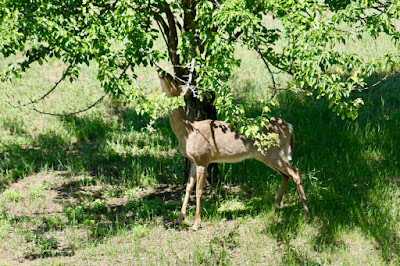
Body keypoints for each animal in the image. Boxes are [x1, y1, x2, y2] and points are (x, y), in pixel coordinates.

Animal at [158, 70, 308, 231]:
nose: (161, 71)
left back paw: (305, 213)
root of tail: (290, 127)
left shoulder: (202, 158)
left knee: (295, 172)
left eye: (175, 80)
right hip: (268, 155)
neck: (187, 130)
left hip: (274, 152)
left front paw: (196, 224)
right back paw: (276, 206)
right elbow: (188, 188)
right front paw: (179, 219)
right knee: (285, 175)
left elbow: (198, 191)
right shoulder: (193, 160)